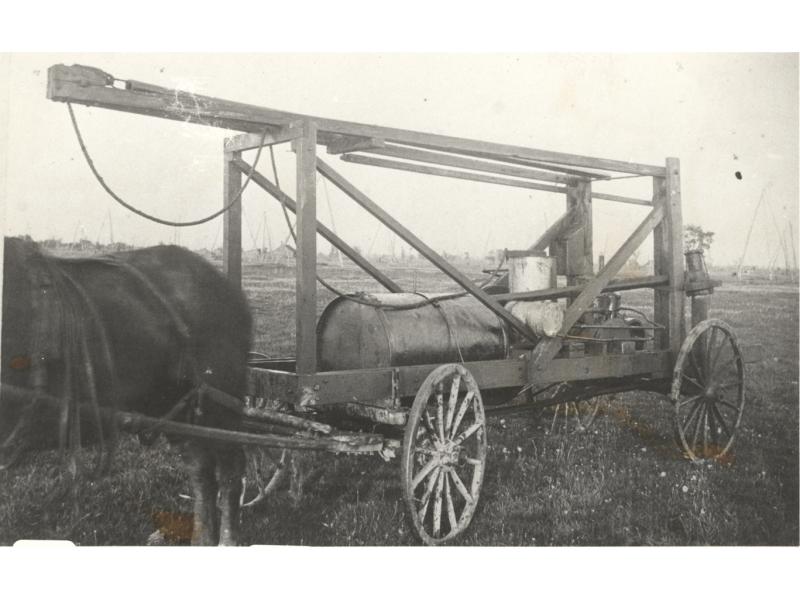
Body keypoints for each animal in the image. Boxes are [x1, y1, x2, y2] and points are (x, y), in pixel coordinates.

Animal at [0, 237, 250, 548]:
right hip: (181, 406)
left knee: (230, 470)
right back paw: (202, 540)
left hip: (221, 404)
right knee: (200, 469)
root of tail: (228, 288)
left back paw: (228, 541)